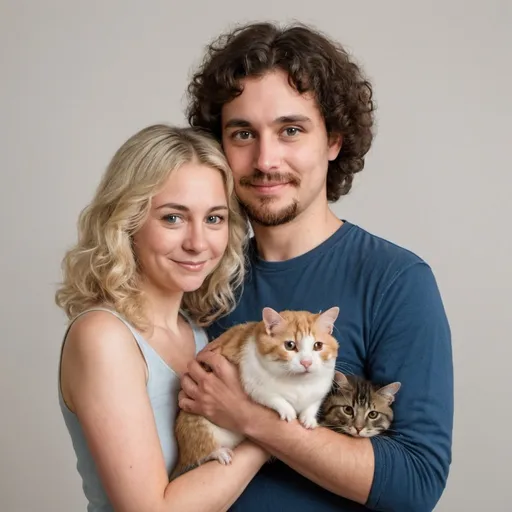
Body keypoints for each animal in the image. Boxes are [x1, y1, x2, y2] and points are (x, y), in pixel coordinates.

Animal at [172, 308, 340, 480]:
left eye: (318, 345)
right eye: (290, 345)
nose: (307, 362)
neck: (299, 383)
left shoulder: (321, 387)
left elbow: (313, 403)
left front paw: (309, 418)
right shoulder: (254, 382)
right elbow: (272, 397)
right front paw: (288, 410)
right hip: (201, 429)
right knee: (199, 455)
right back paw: (219, 453)